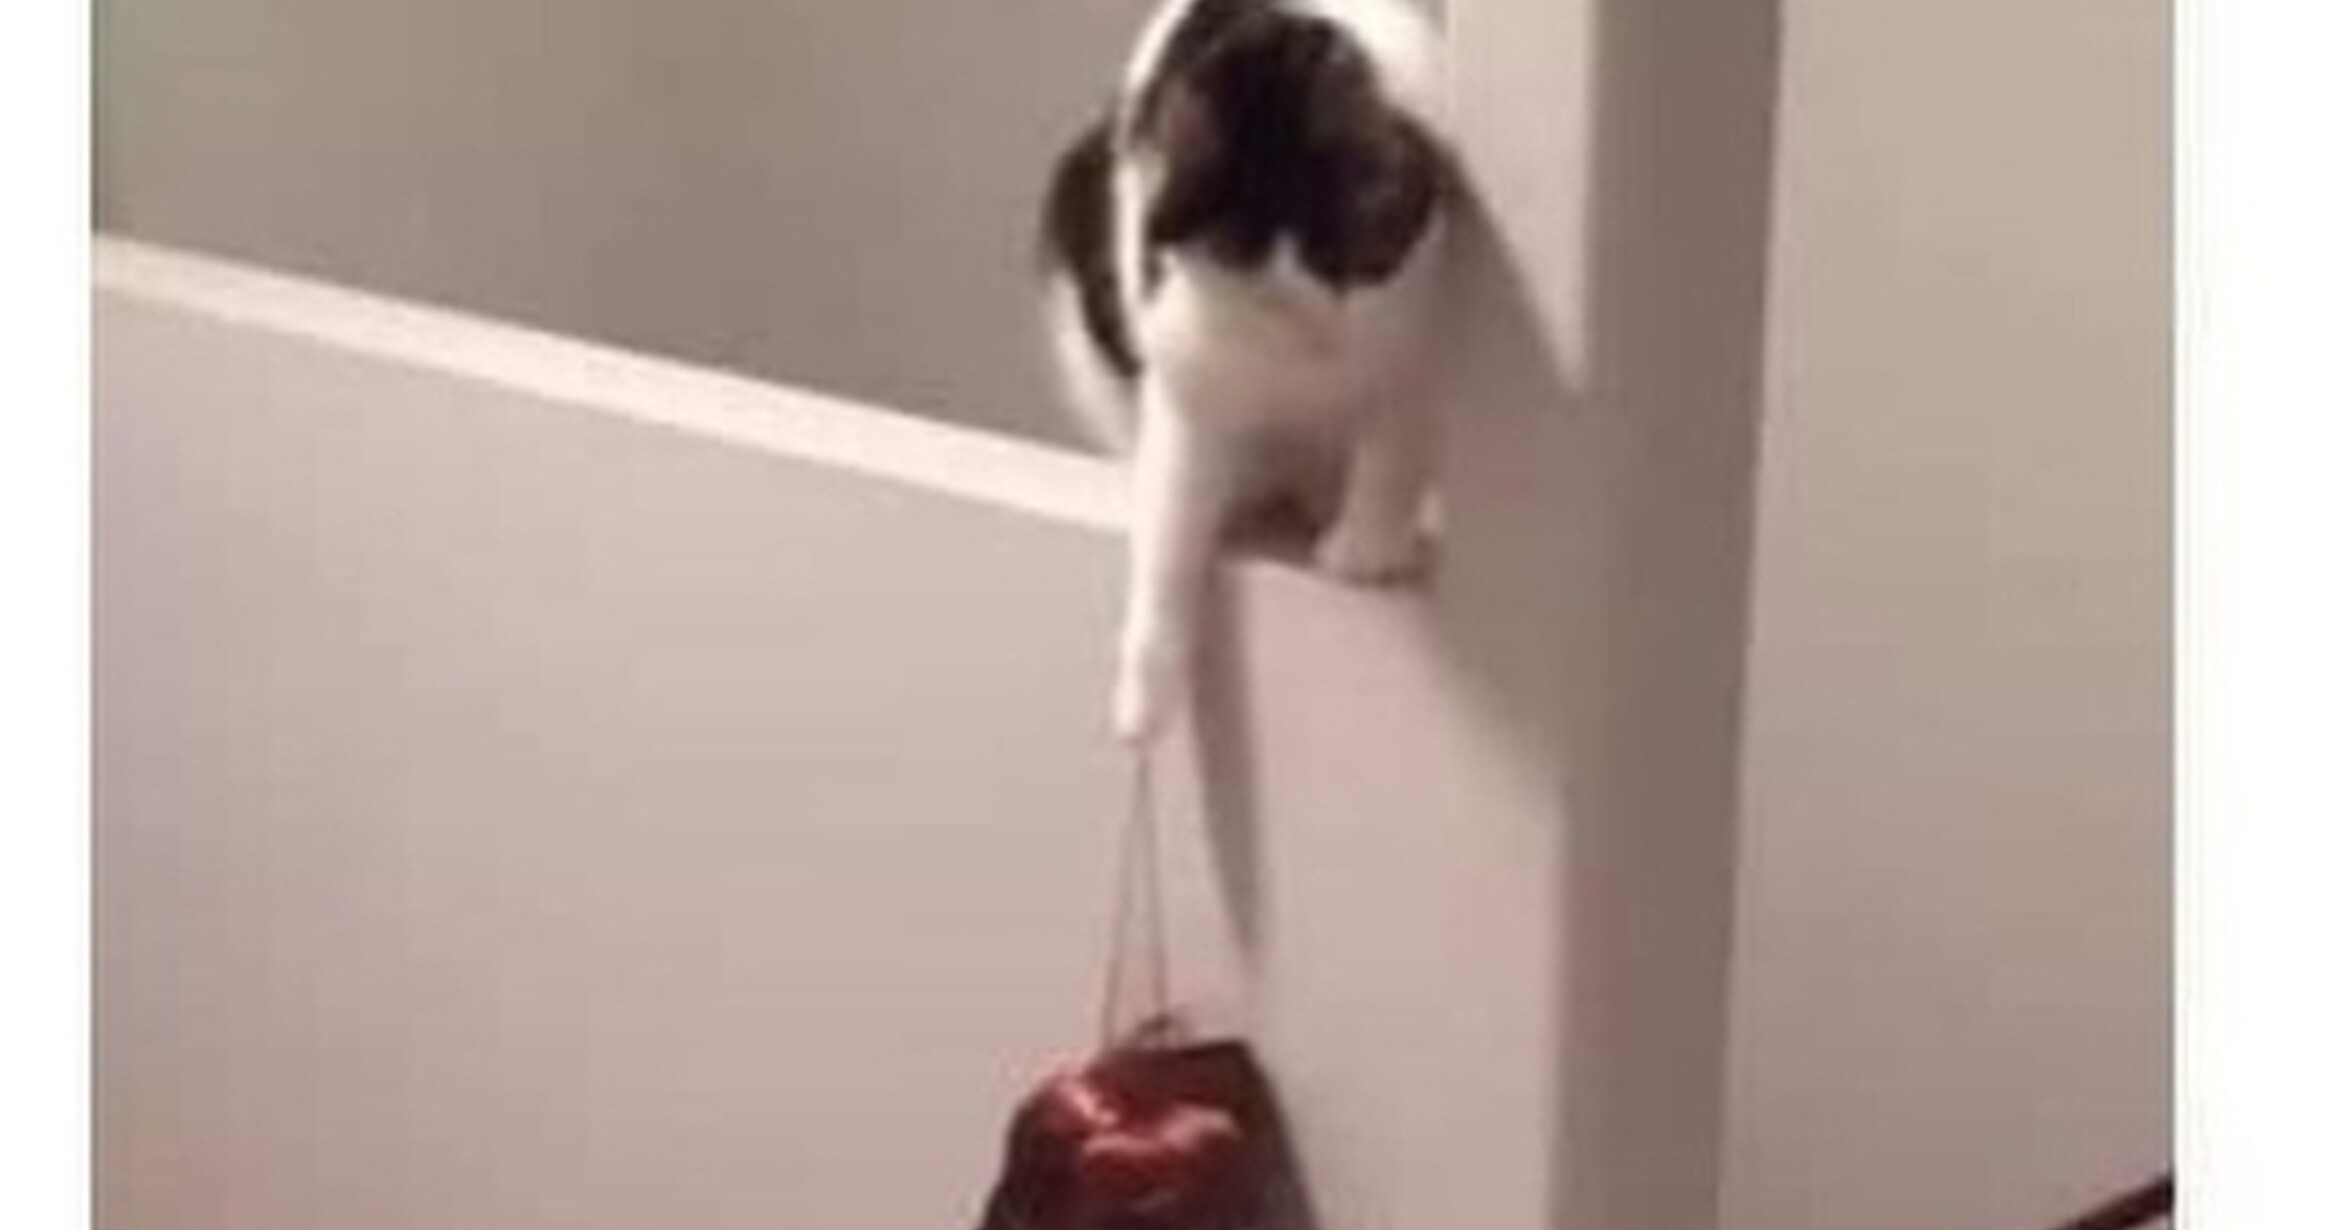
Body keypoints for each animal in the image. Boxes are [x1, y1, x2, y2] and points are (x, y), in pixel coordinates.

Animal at [1038, 0, 1458, 743]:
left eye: (1350, 262)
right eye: (1249, 292)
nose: (1322, 338)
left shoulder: (1420, 341)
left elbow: (1394, 447)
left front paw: (1365, 552)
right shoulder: (1189, 392)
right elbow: (1169, 534)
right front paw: (1143, 703)